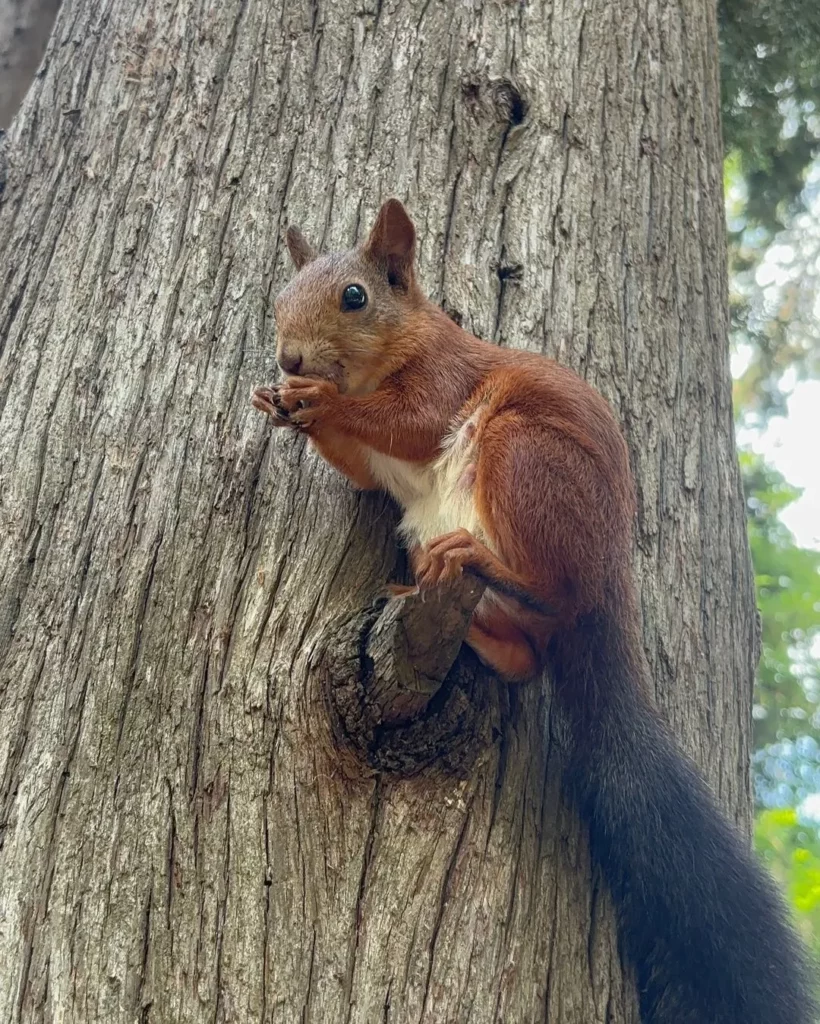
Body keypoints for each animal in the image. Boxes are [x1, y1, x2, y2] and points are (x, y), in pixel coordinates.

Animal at [252, 195, 814, 1019]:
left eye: (355, 296)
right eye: (279, 300)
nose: (289, 360)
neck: (393, 353)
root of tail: (610, 588)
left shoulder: (445, 380)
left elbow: (410, 422)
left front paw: (314, 402)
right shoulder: (372, 465)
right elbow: (361, 470)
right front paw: (280, 404)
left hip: (524, 458)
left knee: (555, 597)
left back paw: (488, 565)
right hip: (448, 541)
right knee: (528, 654)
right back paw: (469, 625)